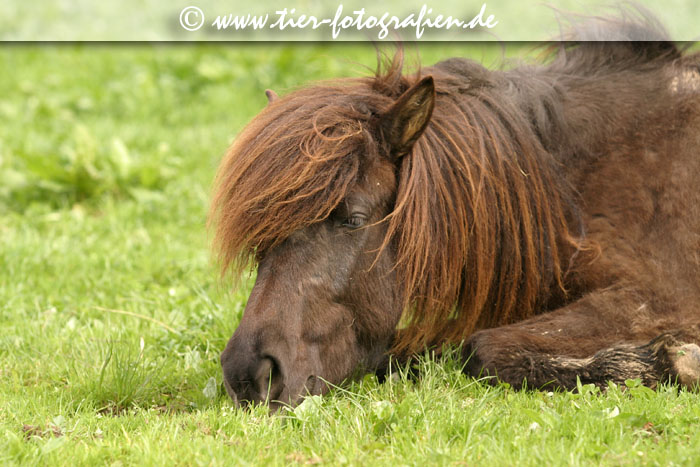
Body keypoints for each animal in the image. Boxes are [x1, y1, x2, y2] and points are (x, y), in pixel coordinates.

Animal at [211, 14, 700, 410]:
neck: (570, 189)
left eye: (353, 218)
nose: (248, 374)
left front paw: (675, 361)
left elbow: (482, 349)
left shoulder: (654, 297)